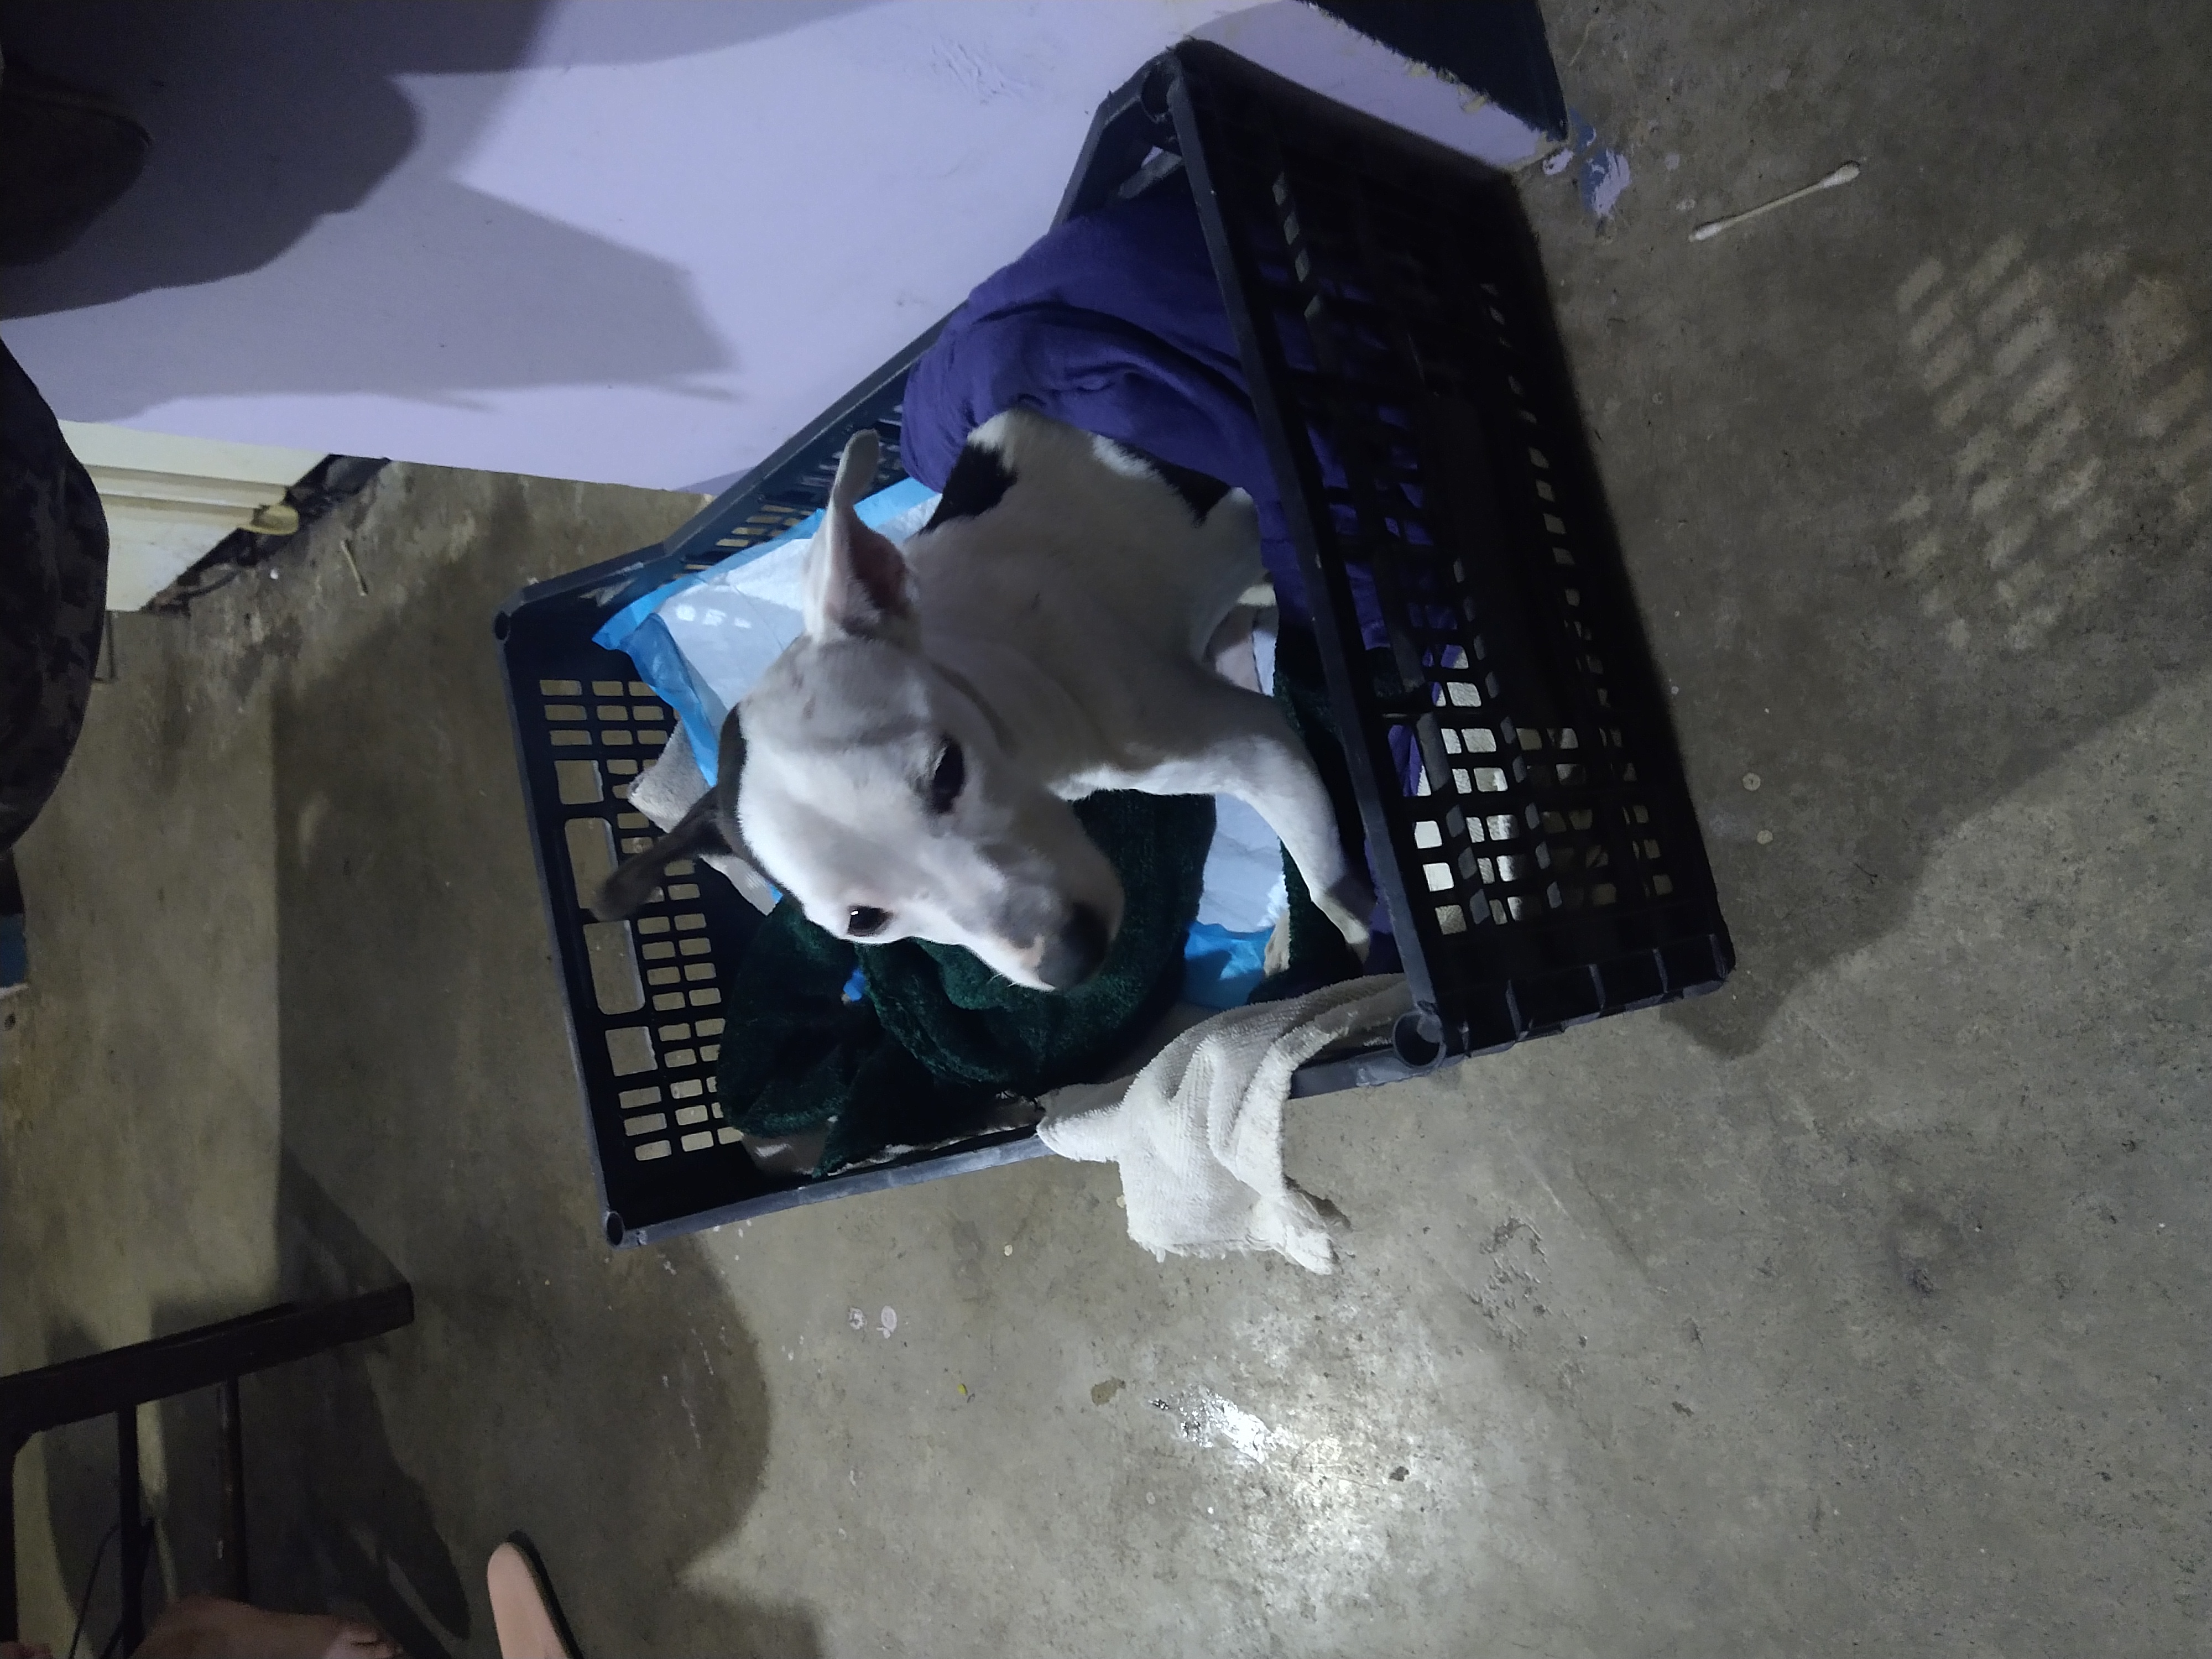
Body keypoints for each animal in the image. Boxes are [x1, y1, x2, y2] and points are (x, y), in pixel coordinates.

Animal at [596, 408, 1372, 990]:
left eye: (947, 772)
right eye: (863, 922)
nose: (1070, 960)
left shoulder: (1254, 746)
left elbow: (1328, 883)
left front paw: (1364, 946)